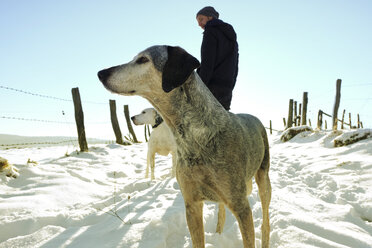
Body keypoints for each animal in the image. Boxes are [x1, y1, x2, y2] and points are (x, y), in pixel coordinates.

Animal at [99, 45, 272, 247]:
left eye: (143, 59)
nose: (101, 73)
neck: (194, 138)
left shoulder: (241, 206)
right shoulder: (191, 204)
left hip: (263, 179)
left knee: (265, 220)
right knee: (222, 212)